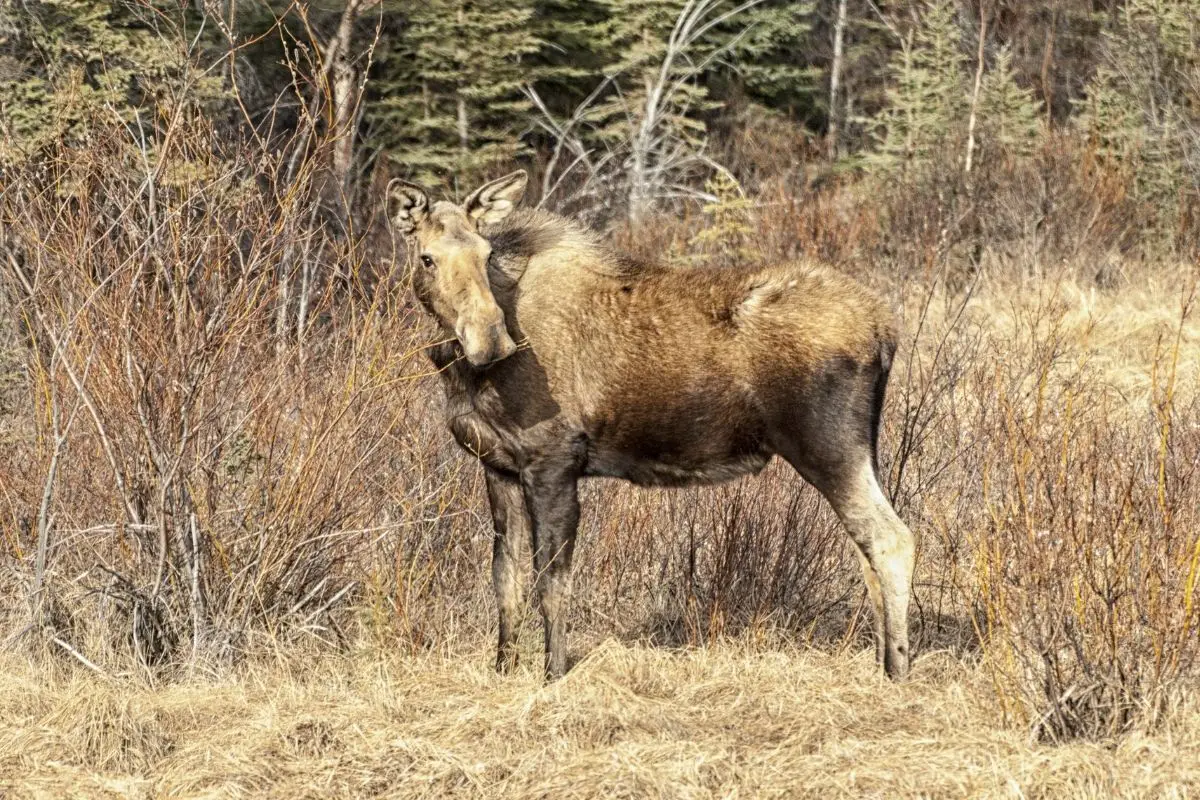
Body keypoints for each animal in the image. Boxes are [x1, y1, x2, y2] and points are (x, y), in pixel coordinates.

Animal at [388, 172, 912, 681]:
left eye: (486, 253)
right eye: (428, 258)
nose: (490, 340)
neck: (467, 373)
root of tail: (887, 329)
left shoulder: (553, 462)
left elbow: (551, 581)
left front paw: (552, 676)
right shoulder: (498, 466)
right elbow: (506, 578)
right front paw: (502, 669)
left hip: (828, 445)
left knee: (892, 539)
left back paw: (897, 670)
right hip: (861, 449)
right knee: (868, 549)